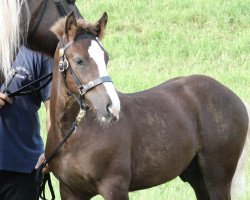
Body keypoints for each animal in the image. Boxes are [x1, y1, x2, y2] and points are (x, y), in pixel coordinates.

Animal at [46, 12, 249, 200]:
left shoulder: (115, 187)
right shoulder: (70, 191)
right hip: (197, 177)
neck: (73, 136)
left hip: (218, 177)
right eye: (79, 60)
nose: (111, 107)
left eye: (106, 58)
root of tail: (236, 99)